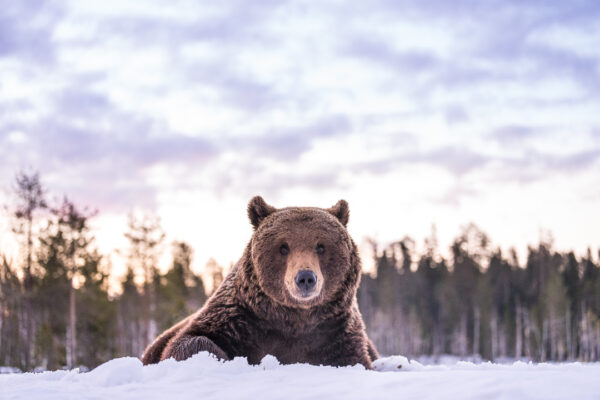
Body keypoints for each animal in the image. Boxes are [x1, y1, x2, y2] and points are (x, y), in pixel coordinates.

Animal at [141, 197, 378, 368]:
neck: (294, 318)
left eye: (321, 246)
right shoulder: (239, 322)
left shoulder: (334, 332)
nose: (305, 278)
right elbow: (191, 341)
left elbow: (353, 358)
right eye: (283, 247)